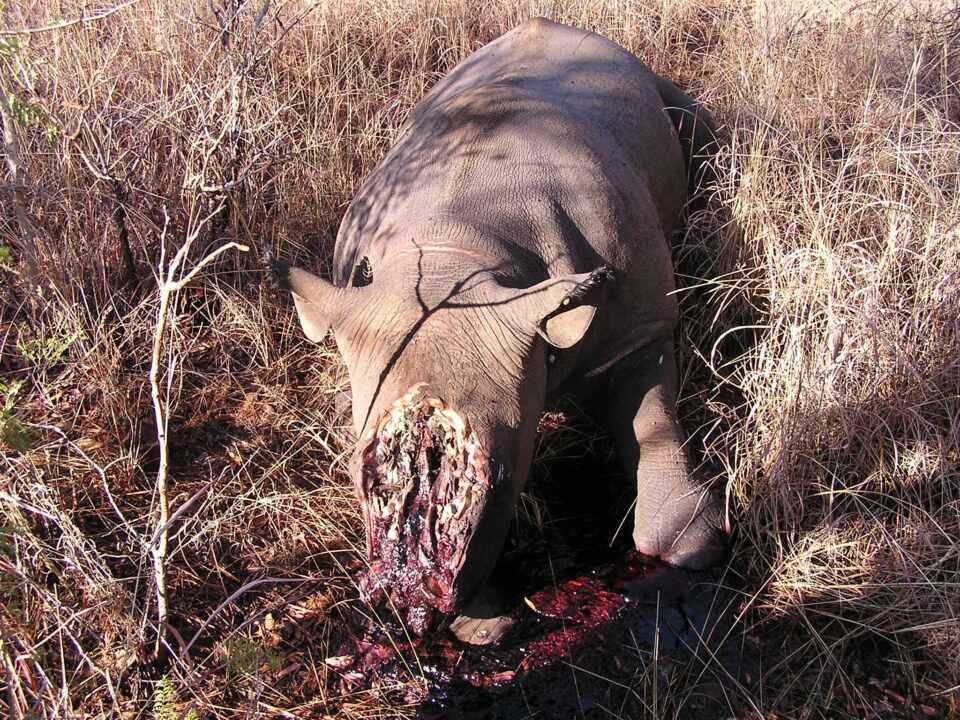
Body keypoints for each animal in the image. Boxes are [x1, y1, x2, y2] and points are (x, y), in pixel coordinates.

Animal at [267, 18, 726, 637]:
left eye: (510, 474)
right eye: (362, 472)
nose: (418, 601)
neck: (457, 249)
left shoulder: (642, 324)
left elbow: (651, 414)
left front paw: (689, 551)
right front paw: (485, 627)